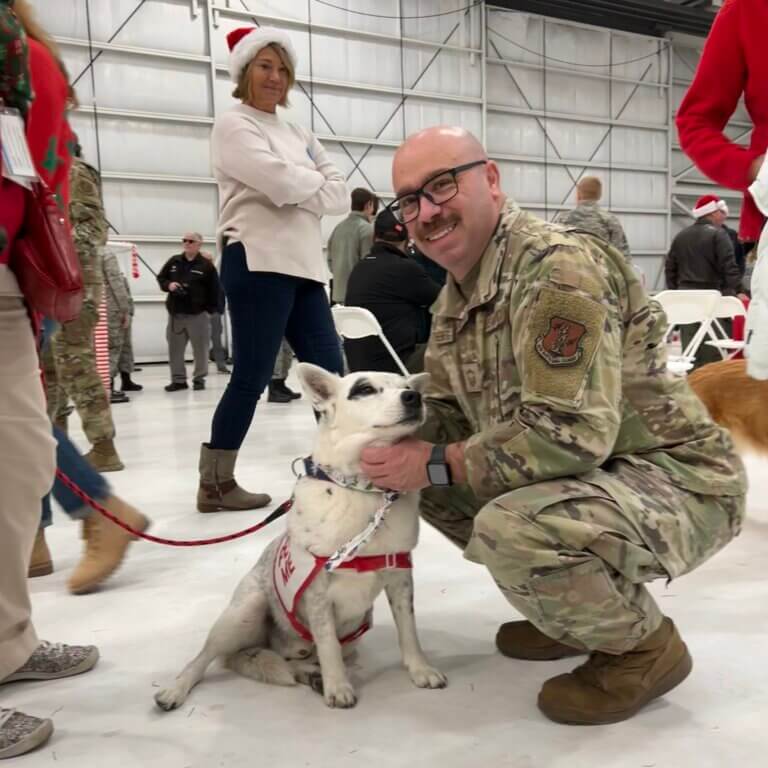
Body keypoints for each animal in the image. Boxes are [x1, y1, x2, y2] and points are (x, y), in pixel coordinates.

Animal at [154, 364, 444, 712]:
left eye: (405, 386)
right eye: (364, 390)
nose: (413, 397)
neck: (362, 489)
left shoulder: (400, 577)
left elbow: (408, 631)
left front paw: (420, 669)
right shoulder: (317, 592)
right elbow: (328, 644)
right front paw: (338, 687)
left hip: (353, 632)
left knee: (295, 661)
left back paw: (311, 675)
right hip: (244, 611)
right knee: (204, 658)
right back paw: (175, 689)